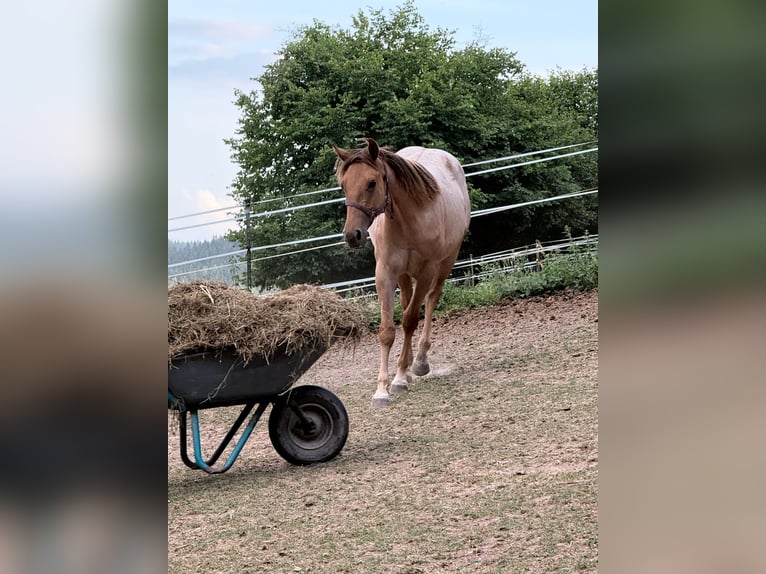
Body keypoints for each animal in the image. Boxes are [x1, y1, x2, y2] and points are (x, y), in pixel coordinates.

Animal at [333, 137, 471, 407]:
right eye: (343, 185)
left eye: (372, 183)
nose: (352, 236)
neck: (409, 220)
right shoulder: (385, 273)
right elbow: (387, 331)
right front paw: (382, 390)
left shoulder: (427, 271)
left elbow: (409, 321)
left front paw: (398, 379)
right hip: (405, 275)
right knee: (408, 302)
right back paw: (405, 368)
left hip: (445, 264)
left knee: (430, 301)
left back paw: (418, 363)